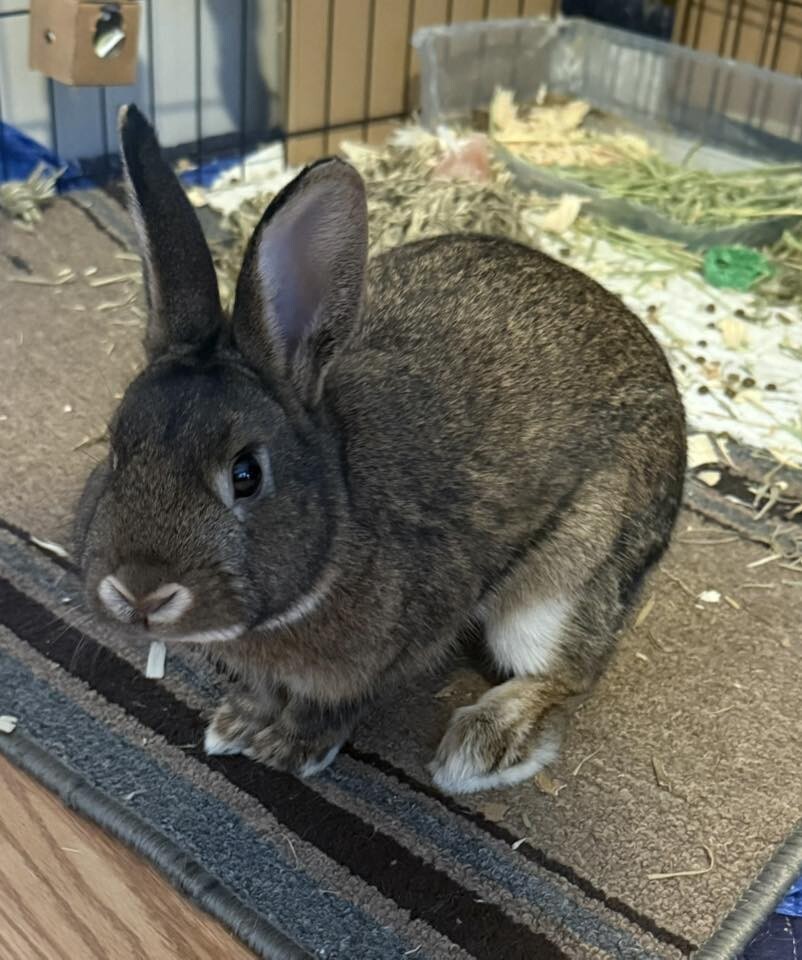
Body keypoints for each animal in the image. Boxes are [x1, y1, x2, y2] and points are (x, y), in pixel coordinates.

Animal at [74, 104, 686, 794]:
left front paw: (290, 745)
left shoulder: (402, 642)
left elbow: (336, 703)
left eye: (247, 473)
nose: (139, 594)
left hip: (564, 580)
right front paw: (237, 724)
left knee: (568, 674)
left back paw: (480, 749)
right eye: (115, 450)